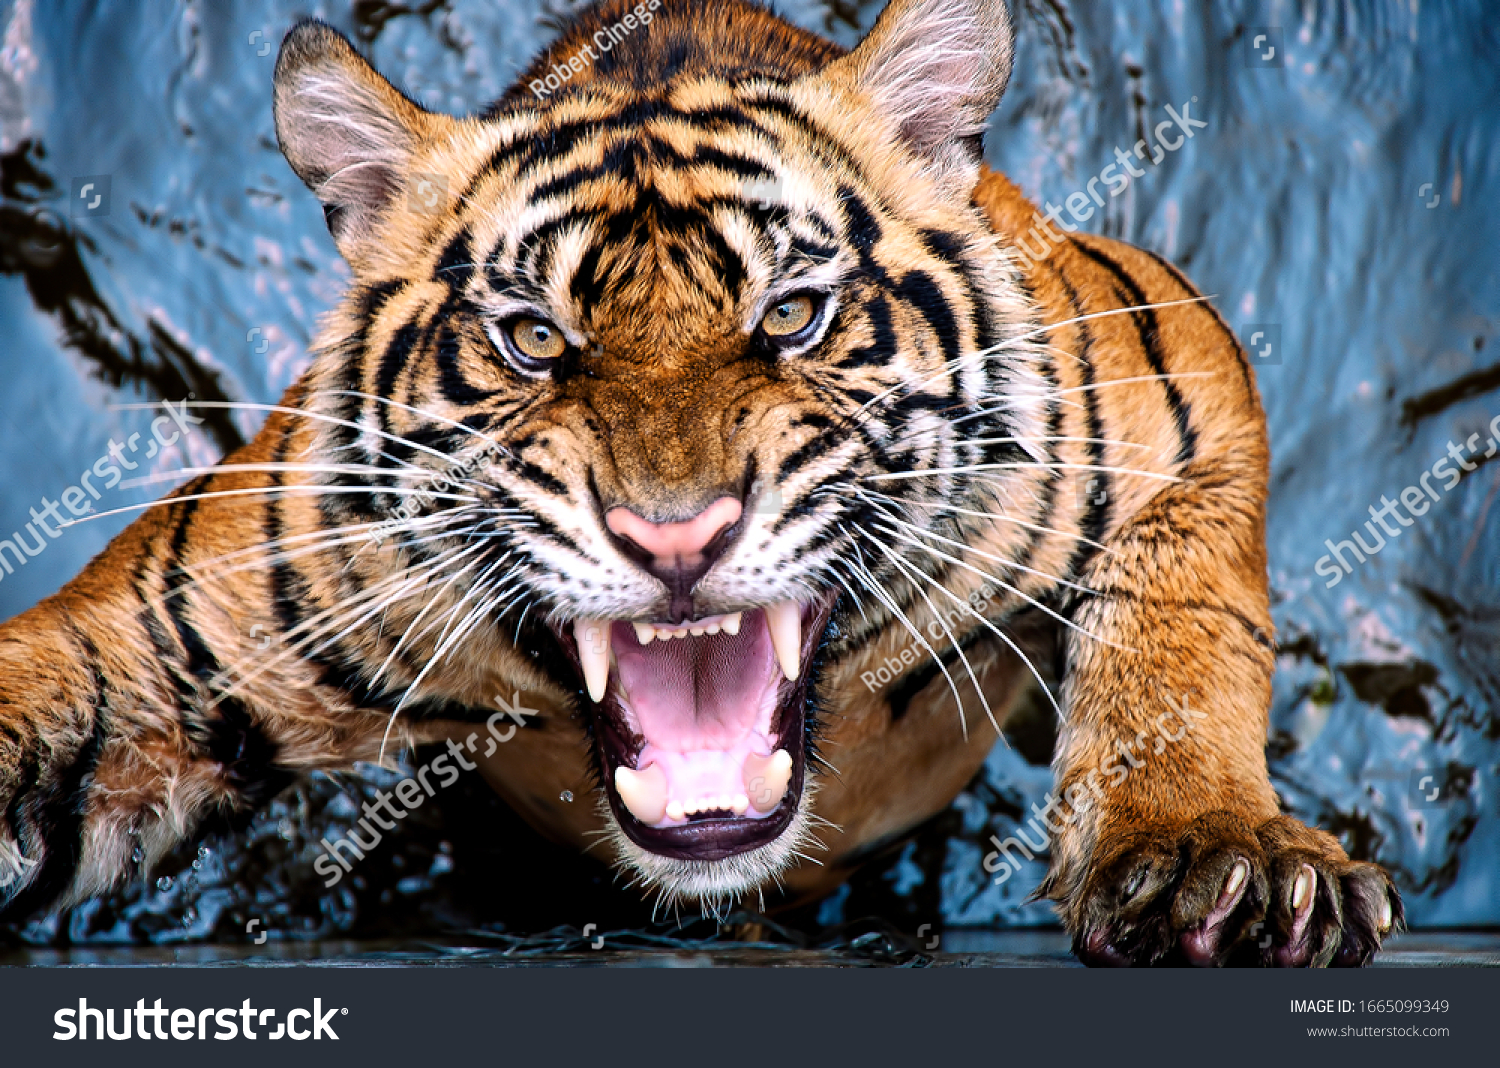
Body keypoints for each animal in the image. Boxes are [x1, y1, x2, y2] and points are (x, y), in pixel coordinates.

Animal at [0, 0, 1401, 966]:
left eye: (790, 316)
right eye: (535, 338)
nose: (675, 539)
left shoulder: (1177, 383)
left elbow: (1180, 635)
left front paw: (1212, 856)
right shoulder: (174, 633)